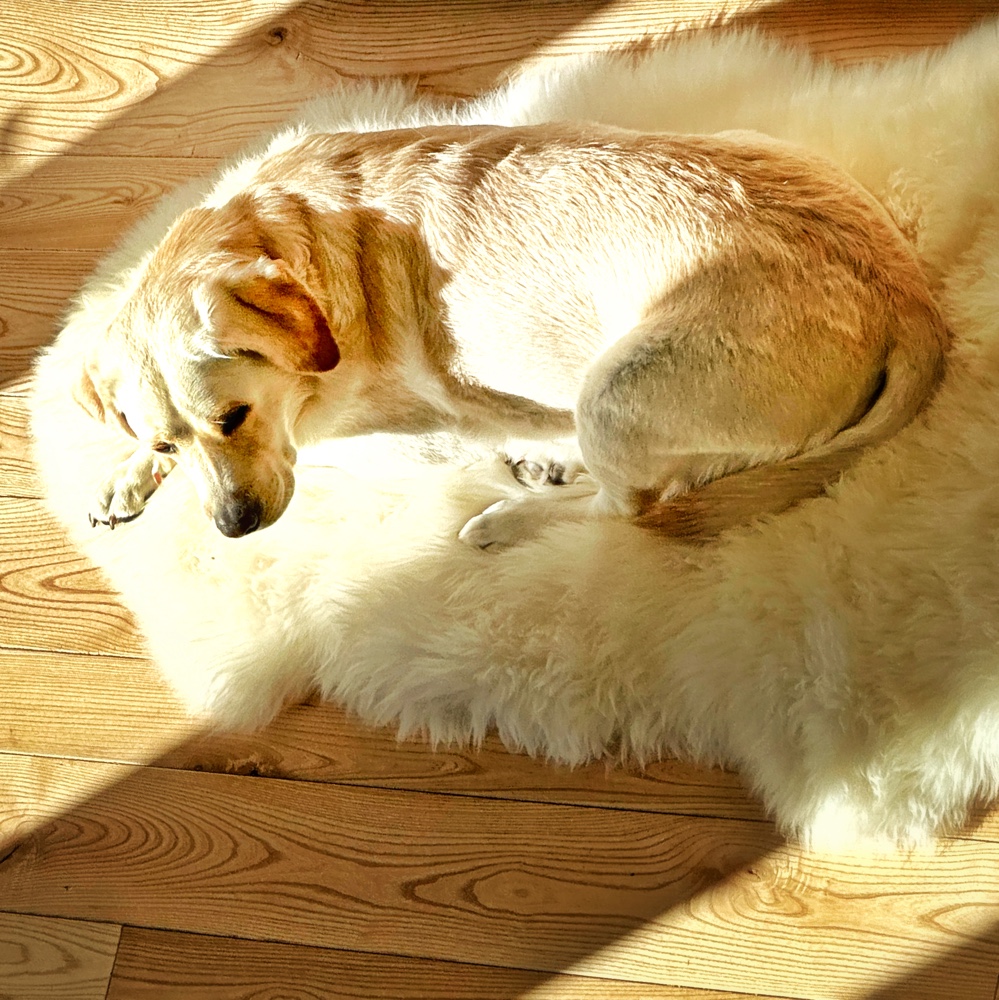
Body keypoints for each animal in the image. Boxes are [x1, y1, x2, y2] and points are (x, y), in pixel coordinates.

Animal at [74, 125, 948, 552]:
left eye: (235, 418)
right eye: (165, 442)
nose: (233, 529)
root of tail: (909, 300)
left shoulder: (375, 438)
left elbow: (318, 454)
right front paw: (125, 475)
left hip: (614, 389)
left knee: (634, 506)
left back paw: (513, 514)